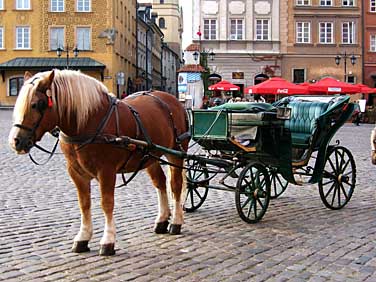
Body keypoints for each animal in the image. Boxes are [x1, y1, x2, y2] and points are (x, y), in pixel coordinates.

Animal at [8, 69, 191, 256]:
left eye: (37, 104)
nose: (16, 141)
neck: (89, 122)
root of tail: (172, 100)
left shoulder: (106, 171)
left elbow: (106, 203)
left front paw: (108, 240)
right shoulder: (76, 172)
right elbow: (84, 203)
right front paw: (83, 237)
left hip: (176, 152)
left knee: (176, 186)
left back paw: (176, 222)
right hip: (150, 156)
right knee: (160, 183)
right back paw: (162, 220)